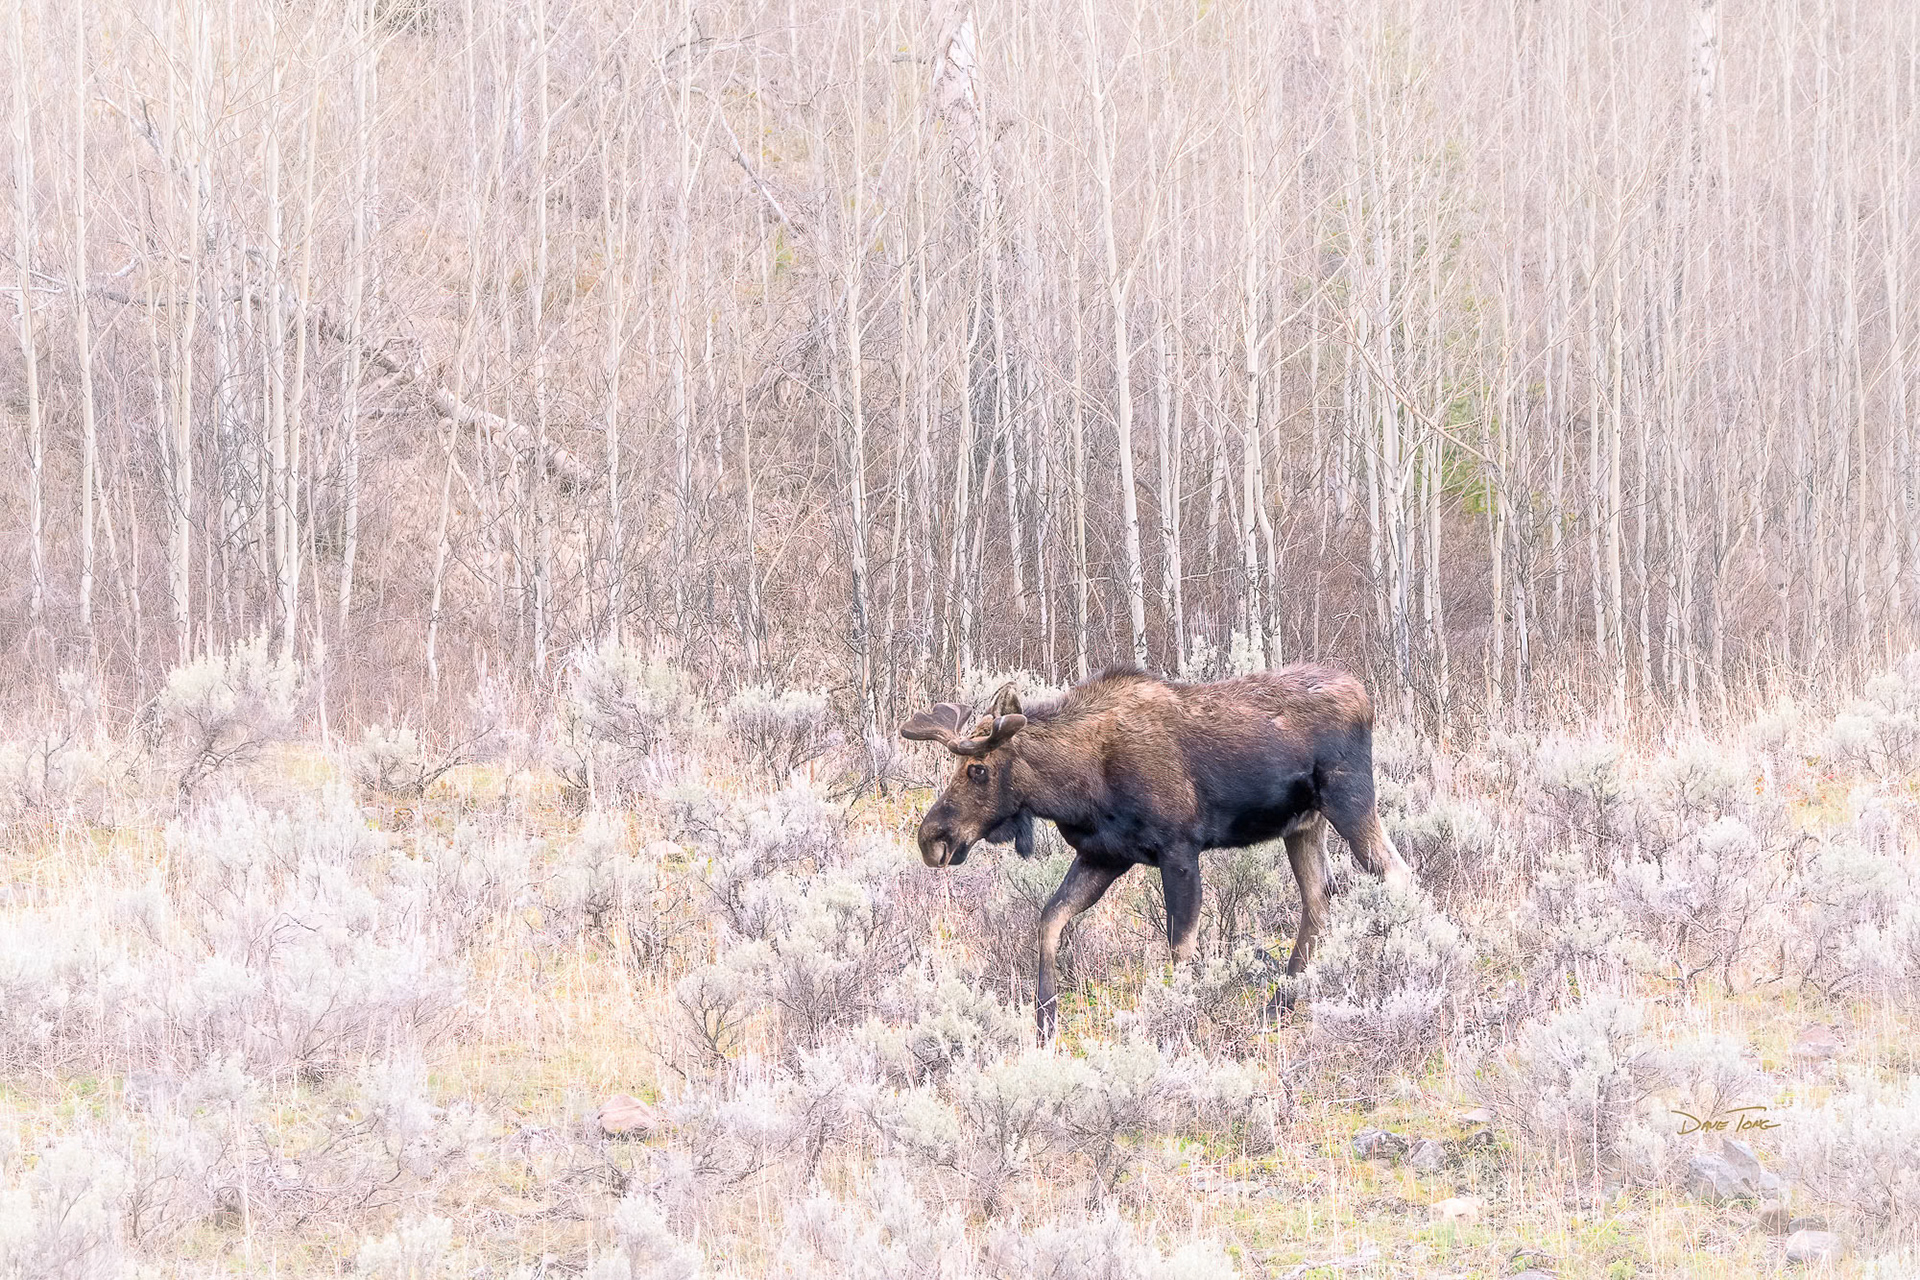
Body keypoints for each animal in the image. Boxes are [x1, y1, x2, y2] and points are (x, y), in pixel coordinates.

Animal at [902, 664, 1414, 1041]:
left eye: (979, 770)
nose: (932, 838)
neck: (1077, 785)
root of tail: (1366, 696)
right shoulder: (1104, 855)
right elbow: (1050, 920)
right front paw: (1045, 1023)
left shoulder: (1179, 849)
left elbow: (1180, 947)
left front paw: (1178, 1025)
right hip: (1303, 825)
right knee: (1319, 901)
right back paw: (1277, 1007)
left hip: (1350, 800)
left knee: (1398, 875)